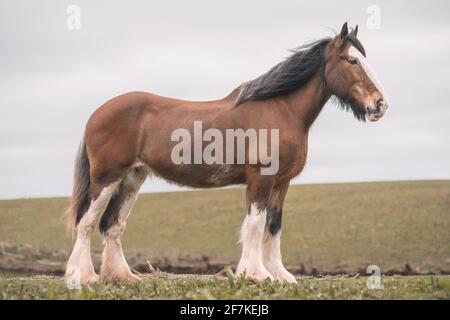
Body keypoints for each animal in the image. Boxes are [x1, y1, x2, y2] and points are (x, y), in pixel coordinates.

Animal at [65, 23, 388, 286]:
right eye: (352, 60)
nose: (380, 104)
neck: (281, 110)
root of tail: (97, 113)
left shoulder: (281, 183)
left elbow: (273, 226)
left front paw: (280, 275)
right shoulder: (261, 178)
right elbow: (255, 224)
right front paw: (256, 274)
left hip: (132, 178)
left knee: (112, 225)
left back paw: (122, 277)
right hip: (107, 178)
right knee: (87, 223)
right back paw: (82, 277)